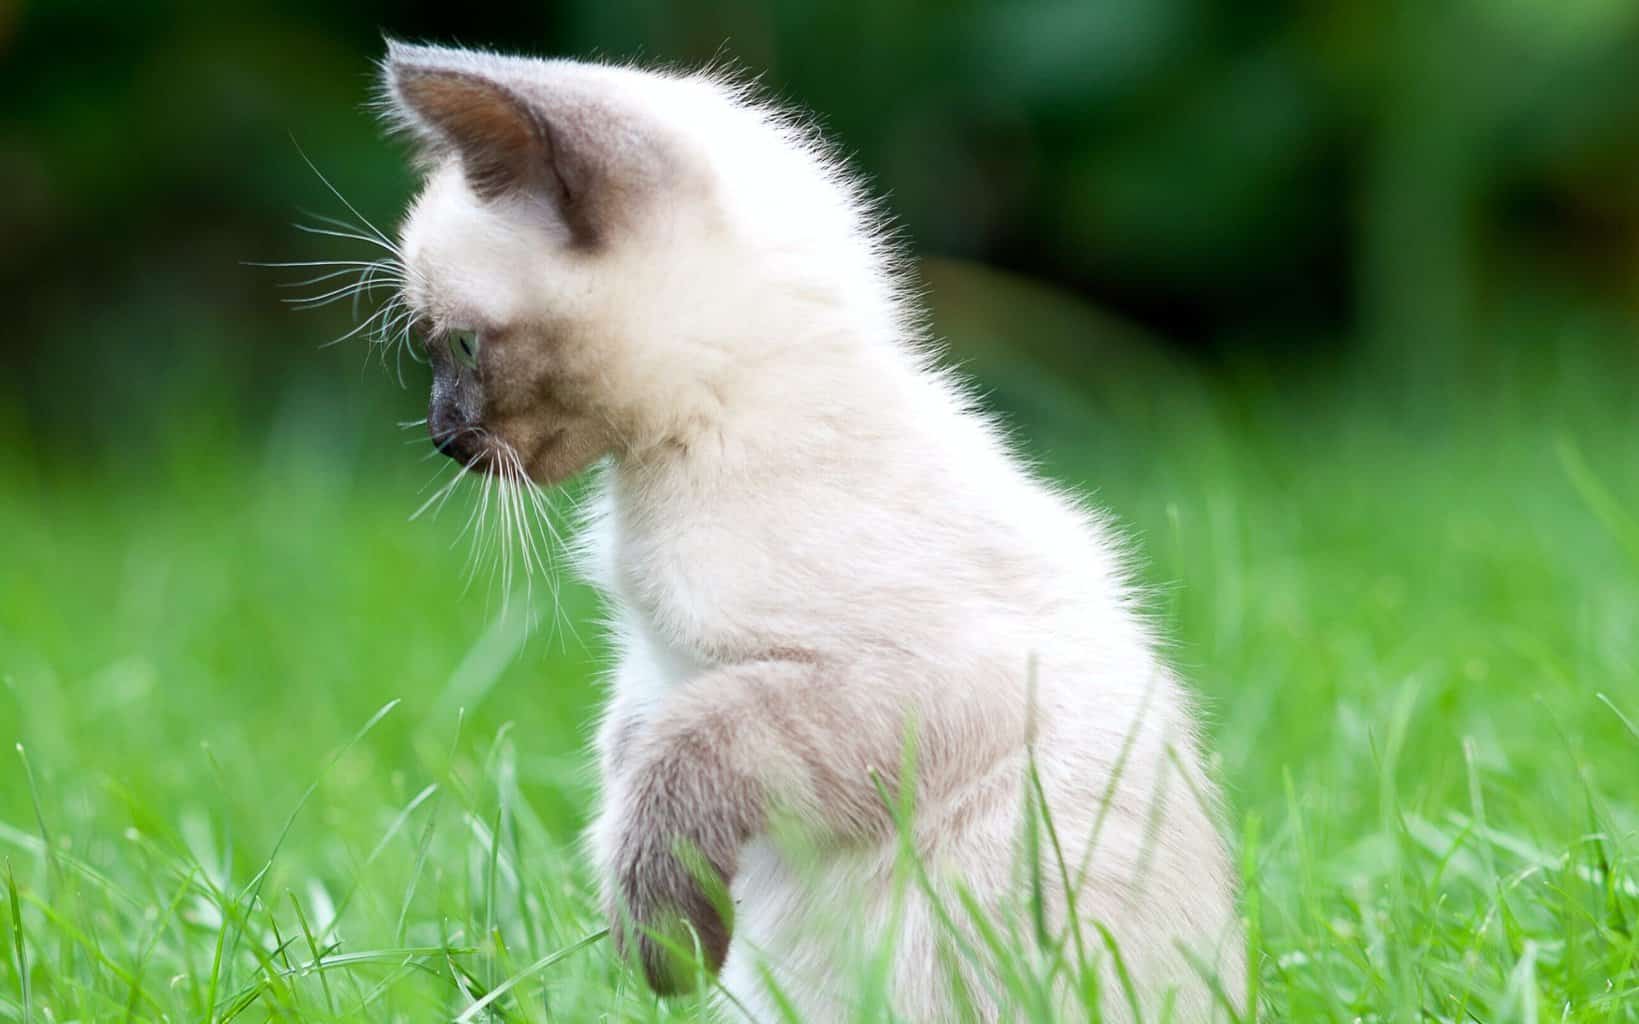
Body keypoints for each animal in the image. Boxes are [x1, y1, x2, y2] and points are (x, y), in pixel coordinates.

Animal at [375, 41, 1239, 1022]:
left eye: (459, 347)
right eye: (433, 351)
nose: (441, 437)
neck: (700, 434)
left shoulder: (894, 683)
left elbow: (681, 763)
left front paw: (663, 954)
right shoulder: (650, 667)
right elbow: (625, 763)